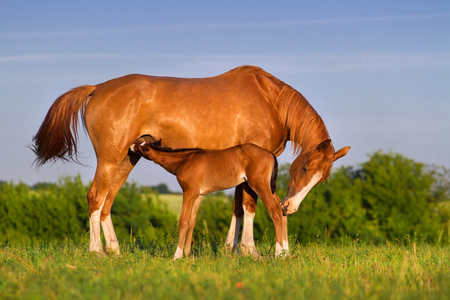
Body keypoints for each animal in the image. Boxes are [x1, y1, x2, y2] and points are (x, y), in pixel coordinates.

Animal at [130, 137, 286, 258]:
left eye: (141, 147)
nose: (131, 146)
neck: (185, 160)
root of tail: (270, 154)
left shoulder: (189, 192)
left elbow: (183, 221)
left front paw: (177, 256)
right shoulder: (199, 195)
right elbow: (192, 221)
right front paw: (187, 253)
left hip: (260, 185)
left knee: (276, 211)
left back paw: (279, 255)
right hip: (265, 187)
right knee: (283, 208)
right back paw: (285, 253)